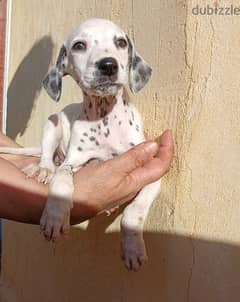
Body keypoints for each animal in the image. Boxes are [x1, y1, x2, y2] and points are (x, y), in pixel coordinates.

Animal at [0, 18, 161, 272]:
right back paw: (42, 169)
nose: (108, 65)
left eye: (121, 42)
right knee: (47, 156)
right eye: (79, 45)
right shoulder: (71, 162)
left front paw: (132, 248)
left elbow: (134, 210)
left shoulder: (153, 172)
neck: (104, 119)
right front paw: (54, 218)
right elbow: (61, 181)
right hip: (52, 123)